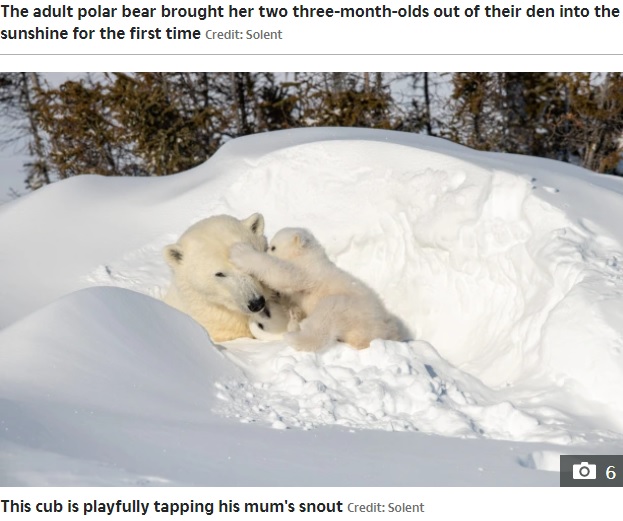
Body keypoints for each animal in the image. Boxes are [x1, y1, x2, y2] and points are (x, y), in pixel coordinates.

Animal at [229, 226, 404, 350]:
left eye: (273, 247)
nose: (266, 248)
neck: (309, 255)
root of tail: (385, 331)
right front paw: (290, 309)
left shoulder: (309, 271)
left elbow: (285, 274)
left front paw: (240, 252)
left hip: (353, 308)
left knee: (327, 315)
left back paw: (296, 336)